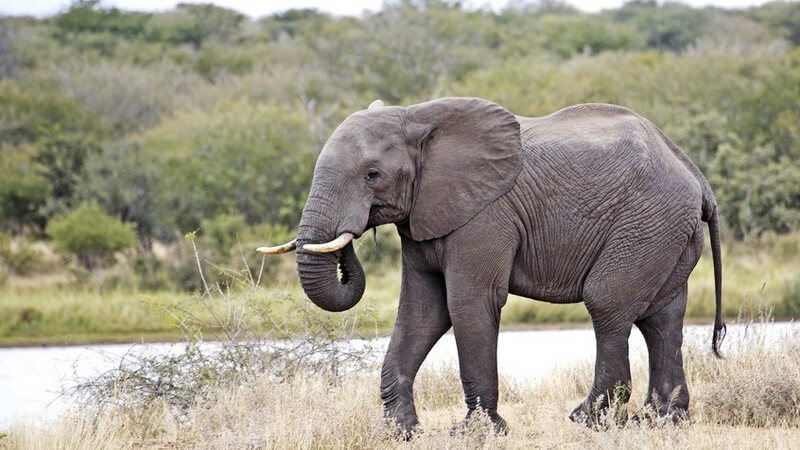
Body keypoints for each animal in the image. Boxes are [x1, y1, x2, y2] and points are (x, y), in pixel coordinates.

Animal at [256, 96, 724, 434]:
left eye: (372, 175)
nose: (348, 243)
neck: (417, 118)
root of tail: (698, 178)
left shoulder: (485, 216)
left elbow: (468, 304)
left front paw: (476, 433)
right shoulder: (425, 217)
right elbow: (422, 311)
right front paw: (398, 432)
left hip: (648, 223)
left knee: (607, 303)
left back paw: (588, 420)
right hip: (667, 232)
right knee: (661, 318)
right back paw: (663, 420)